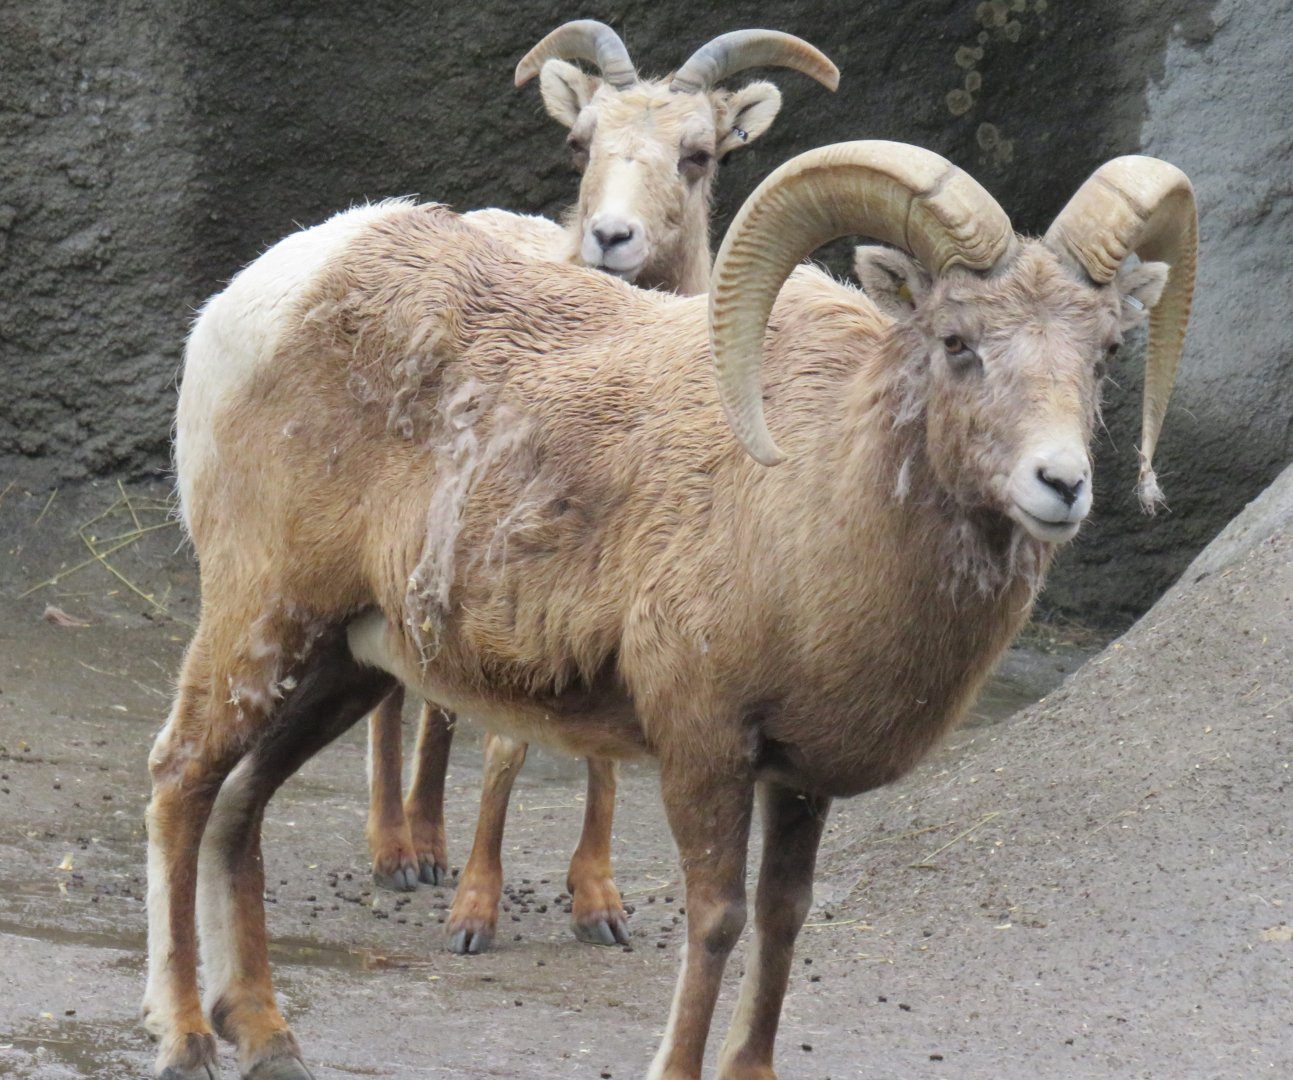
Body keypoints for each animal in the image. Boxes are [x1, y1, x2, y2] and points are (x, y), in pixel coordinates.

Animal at [143, 140, 1196, 1080]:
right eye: (957, 344)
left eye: (1104, 352)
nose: (1060, 484)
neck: (816, 497)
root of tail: (265, 292)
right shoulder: (704, 744)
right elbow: (719, 918)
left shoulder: (798, 779)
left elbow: (782, 918)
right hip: (262, 620)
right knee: (183, 781)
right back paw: (187, 1041)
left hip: (345, 662)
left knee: (240, 807)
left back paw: (270, 1041)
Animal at [362, 20, 840, 960]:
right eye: (580, 143)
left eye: (697, 153)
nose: (611, 238)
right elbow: (506, 750)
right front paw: (473, 914)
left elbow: (605, 754)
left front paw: (599, 904)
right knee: (394, 697)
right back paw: (397, 854)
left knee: (436, 698)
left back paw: (428, 845)